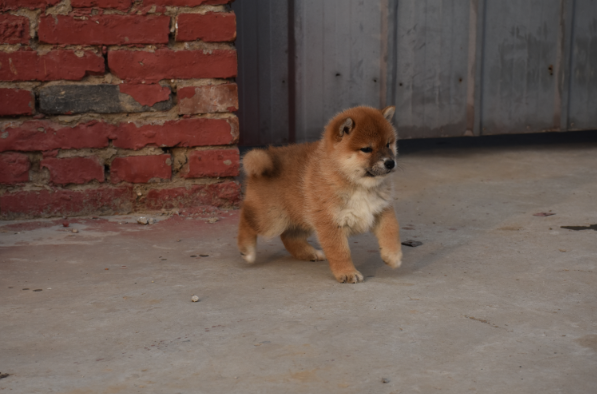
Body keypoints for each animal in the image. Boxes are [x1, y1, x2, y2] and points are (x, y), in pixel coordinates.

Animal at [236, 106, 400, 282]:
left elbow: (391, 233)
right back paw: (247, 251)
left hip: (303, 216)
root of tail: (265, 160)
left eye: (388, 144)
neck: (358, 184)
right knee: (246, 218)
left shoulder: (382, 209)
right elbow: (340, 252)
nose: (390, 163)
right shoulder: (330, 221)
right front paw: (347, 272)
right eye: (366, 149)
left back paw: (310, 253)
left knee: (289, 237)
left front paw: (393, 256)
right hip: (272, 219)